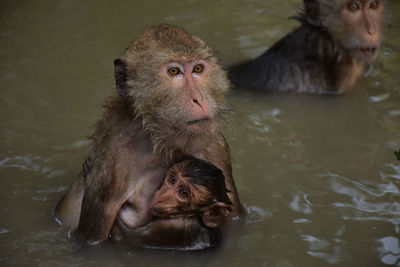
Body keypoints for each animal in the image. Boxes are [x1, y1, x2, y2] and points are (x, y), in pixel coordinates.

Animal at [54, 23, 242, 247]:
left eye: (198, 69)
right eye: (174, 71)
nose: (198, 99)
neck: (159, 141)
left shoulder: (216, 147)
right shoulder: (114, 161)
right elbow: (91, 240)